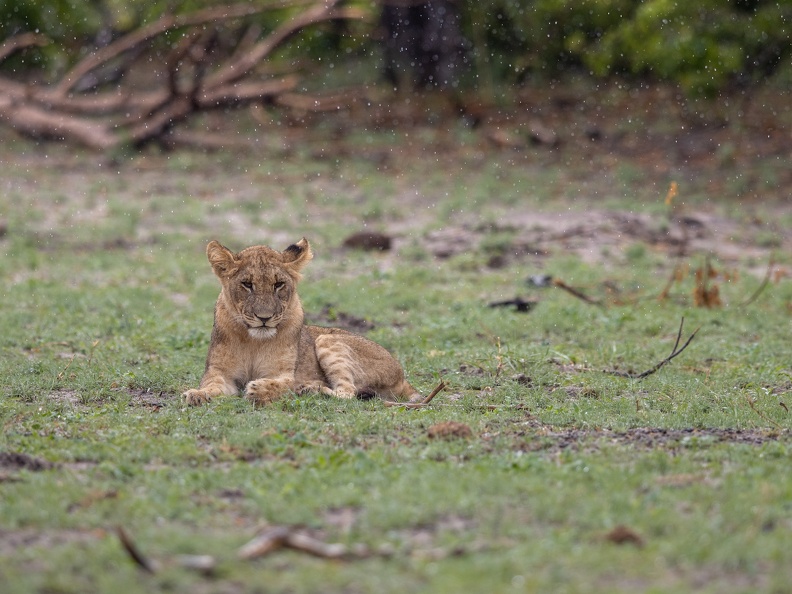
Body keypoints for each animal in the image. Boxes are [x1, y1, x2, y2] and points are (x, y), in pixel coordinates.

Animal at [182, 238, 421, 406]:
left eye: (278, 284)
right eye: (247, 284)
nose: (264, 318)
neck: (254, 342)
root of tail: (401, 373)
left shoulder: (286, 373)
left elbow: (281, 384)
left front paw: (259, 390)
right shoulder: (219, 373)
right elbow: (211, 386)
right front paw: (196, 395)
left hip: (327, 339)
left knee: (348, 392)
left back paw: (312, 389)